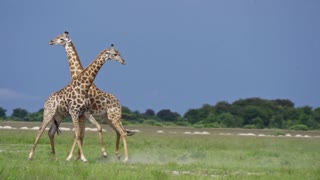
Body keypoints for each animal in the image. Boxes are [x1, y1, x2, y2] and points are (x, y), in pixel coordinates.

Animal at [47, 31, 134, 162]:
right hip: (107, 117)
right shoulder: (82, 114)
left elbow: (78, 134)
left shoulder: (82, 114)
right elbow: (80, 134)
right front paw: (77, 157)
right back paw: (118, 155)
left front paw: (73, 157)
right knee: (119, 131)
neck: (77, 74)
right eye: (58, 37)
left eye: (61, 38)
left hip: (113, 116)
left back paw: (125, 158)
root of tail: (119, 103)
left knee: (122, 132)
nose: (51, 41)